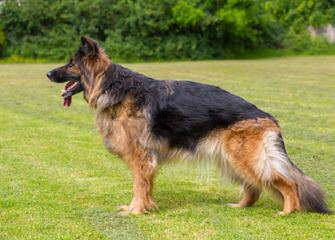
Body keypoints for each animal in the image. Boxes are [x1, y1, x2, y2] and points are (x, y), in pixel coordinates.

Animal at [47, 36, 334, 215]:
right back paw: (240, 207)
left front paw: (135, 211)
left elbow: (139, 186)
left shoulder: (141, 157)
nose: (47, 73)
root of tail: (267, 116)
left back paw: (288, 211)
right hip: (231, 160)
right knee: (253, 188)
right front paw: (142, 208)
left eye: (71, 64)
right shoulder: (146, 161)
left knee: (288, 183)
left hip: (248, 159)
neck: (113, 86)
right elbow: (145, 187)